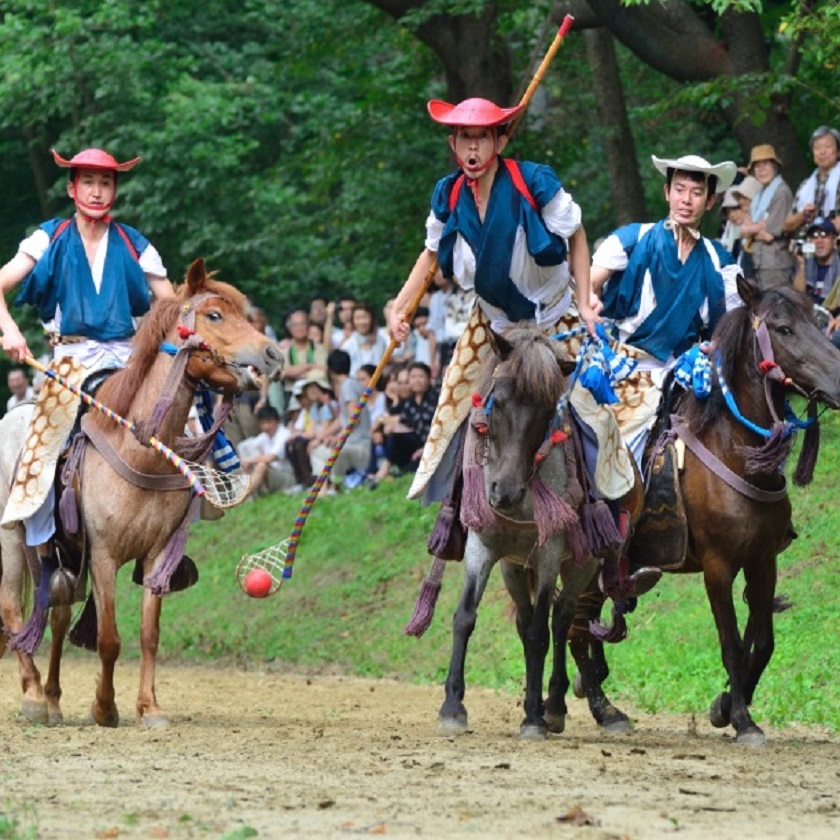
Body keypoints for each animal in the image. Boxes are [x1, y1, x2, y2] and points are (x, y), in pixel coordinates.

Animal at [0, 260, 284, 724]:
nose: (274, 355)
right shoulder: (102, 554)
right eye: (214, 315)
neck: (139, 448)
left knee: (58, 614)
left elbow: (149, 634)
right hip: (12, 541)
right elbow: (109, 638)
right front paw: (104, 706)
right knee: (14, 609)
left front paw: (149, 707)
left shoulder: (156, 555)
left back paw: (54, 698)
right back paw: (35, 697)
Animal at [436, 324, 600, 740]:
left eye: (547, 413)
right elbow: (465, 616)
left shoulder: (549, 552)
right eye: (500, 400)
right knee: (527, 623)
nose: (504, 492)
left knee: (560, 620)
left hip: (581, 564)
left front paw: (533, 718)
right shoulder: (482, 546)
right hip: (513, 566)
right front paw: (452, 706)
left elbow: (541, 633)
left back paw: (551, 705)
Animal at [552, 278, 840, 748]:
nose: (838, 381)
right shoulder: (717, 566)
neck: (735, 452)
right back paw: (579, 706)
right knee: (567, 621)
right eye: (783, 328)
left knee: (579, 620)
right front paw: (743, 719)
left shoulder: (763, 562)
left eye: (818, 322)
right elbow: (730, 643)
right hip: (581, 558)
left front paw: (724, 706)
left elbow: (762, 642)